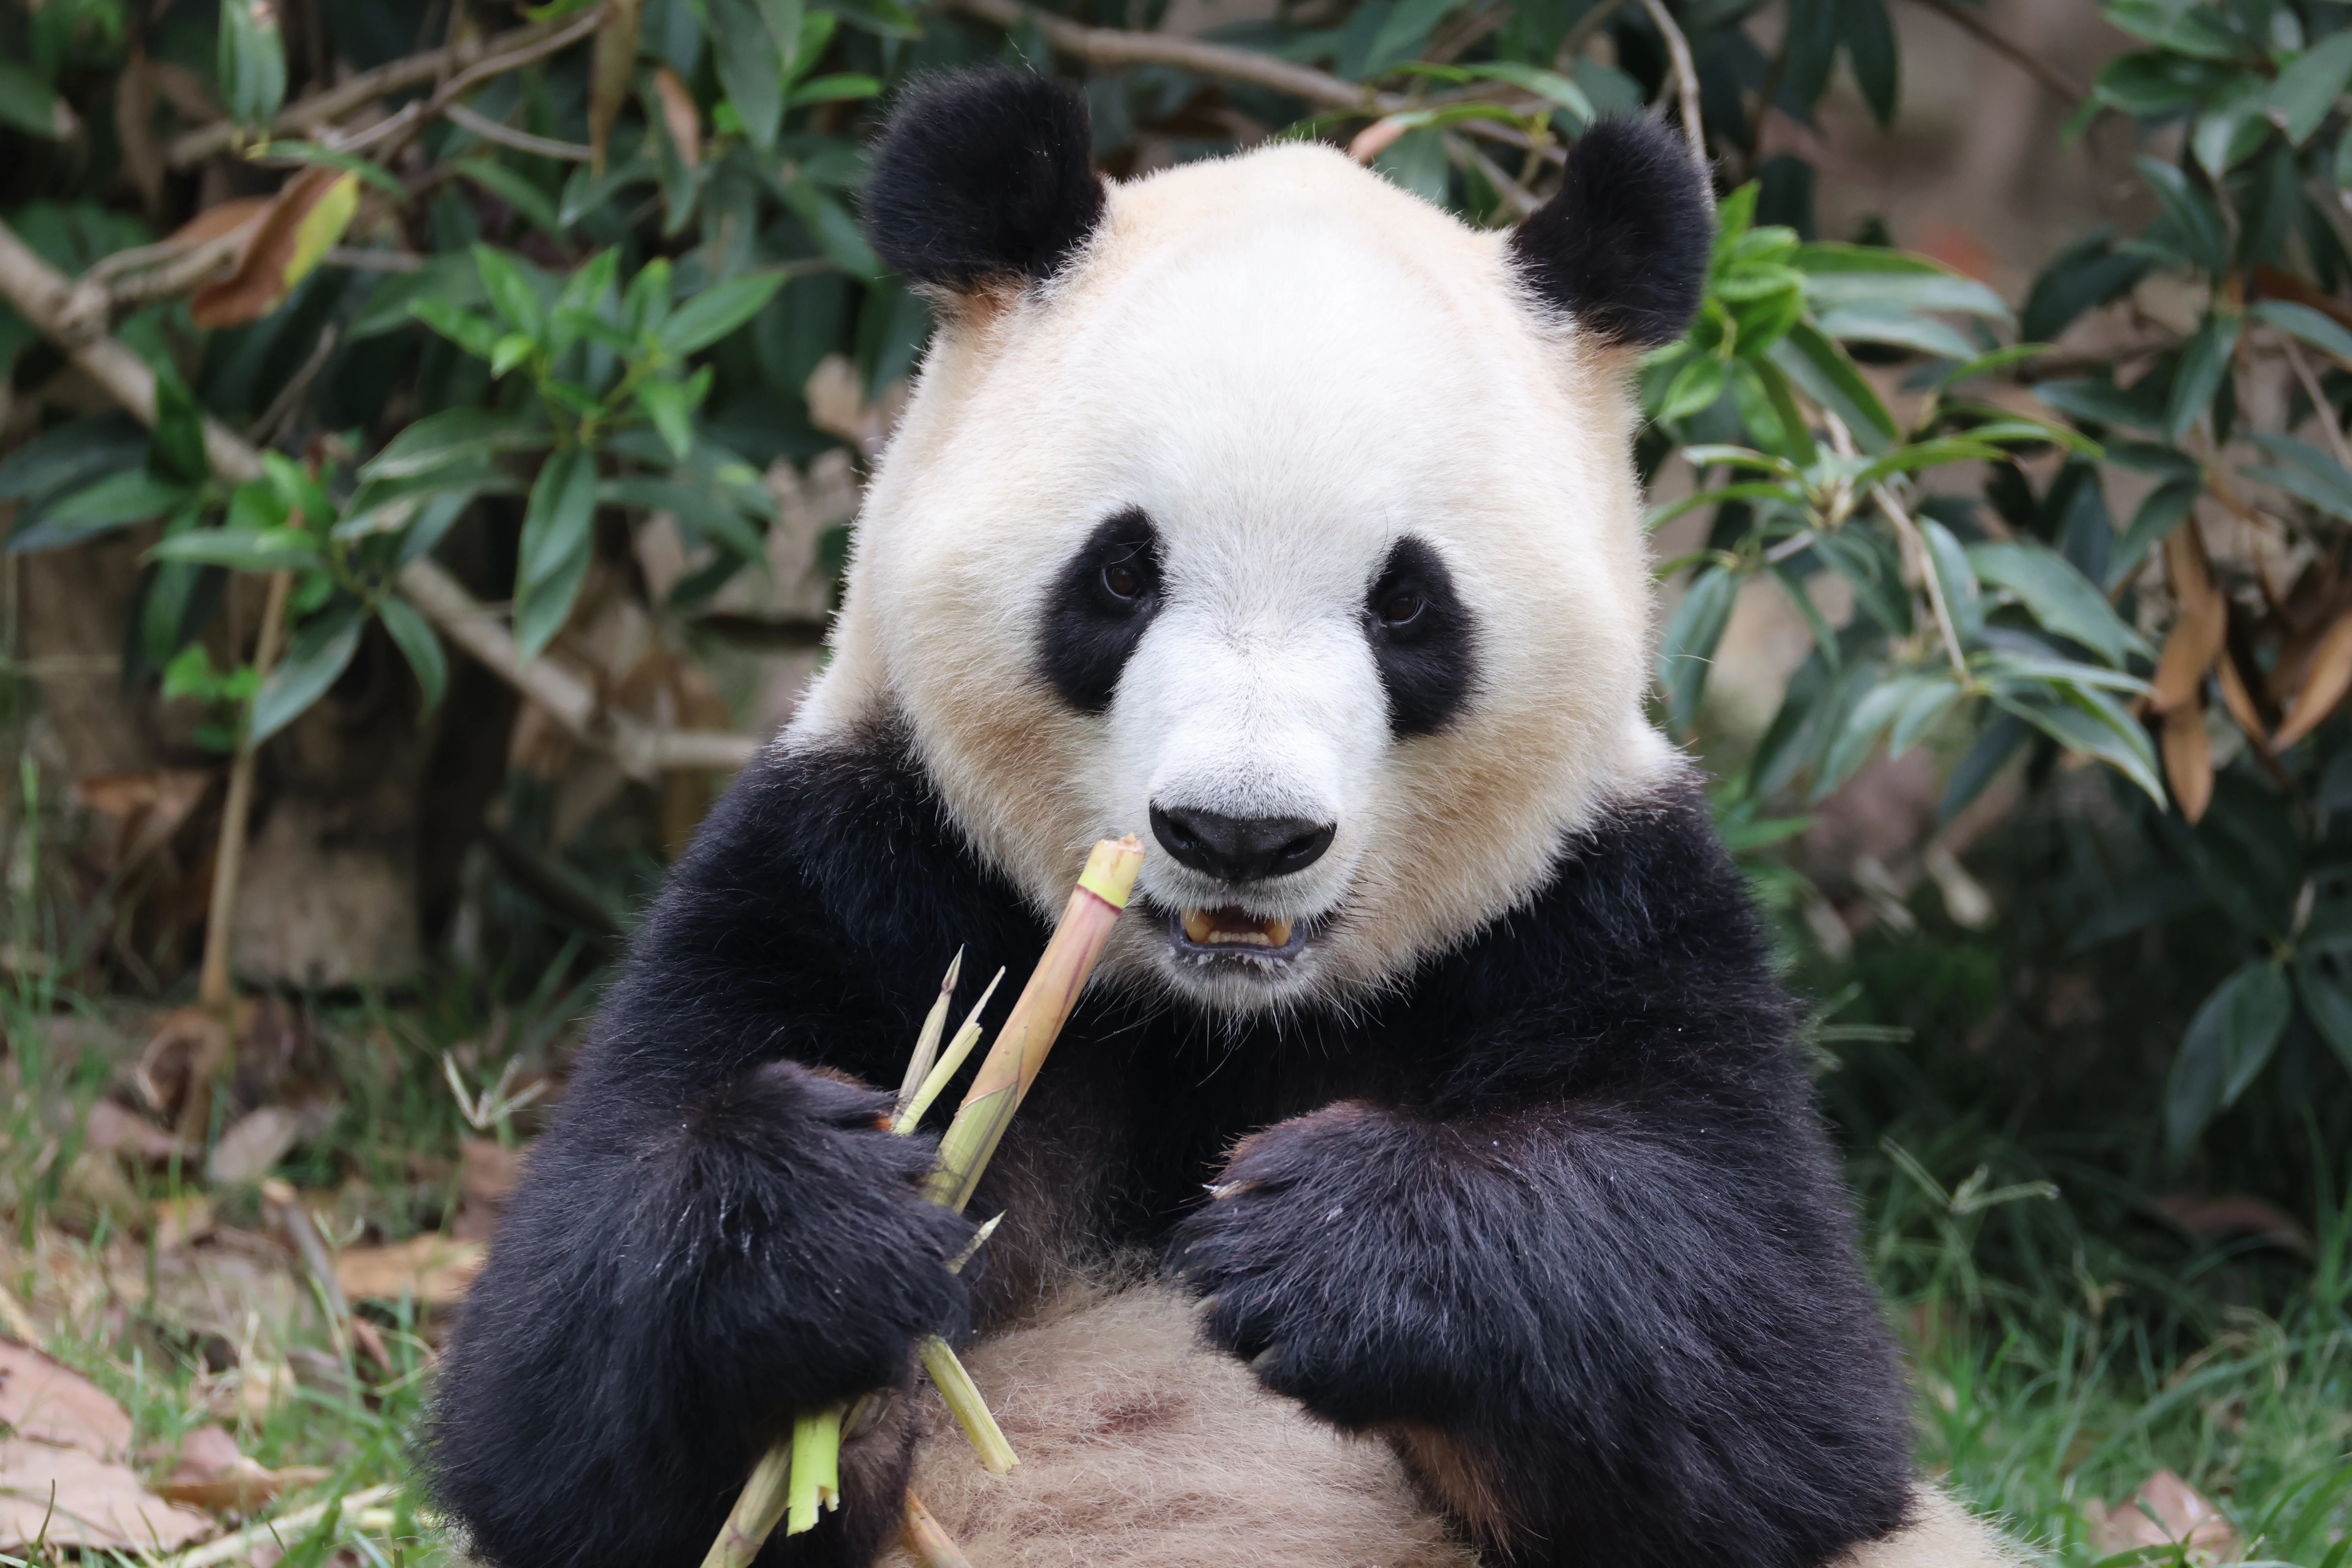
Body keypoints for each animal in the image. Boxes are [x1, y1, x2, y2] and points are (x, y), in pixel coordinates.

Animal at [427, 70, 2028, 1568]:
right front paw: (830, 1219)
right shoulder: (858, 859)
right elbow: (553, 1394)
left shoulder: (1605, 904)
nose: (1239, 833)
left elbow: (1775, 1370)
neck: (1216, 1014)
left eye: (1405, 602)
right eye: (1122, 573)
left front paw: (1323, 1235)